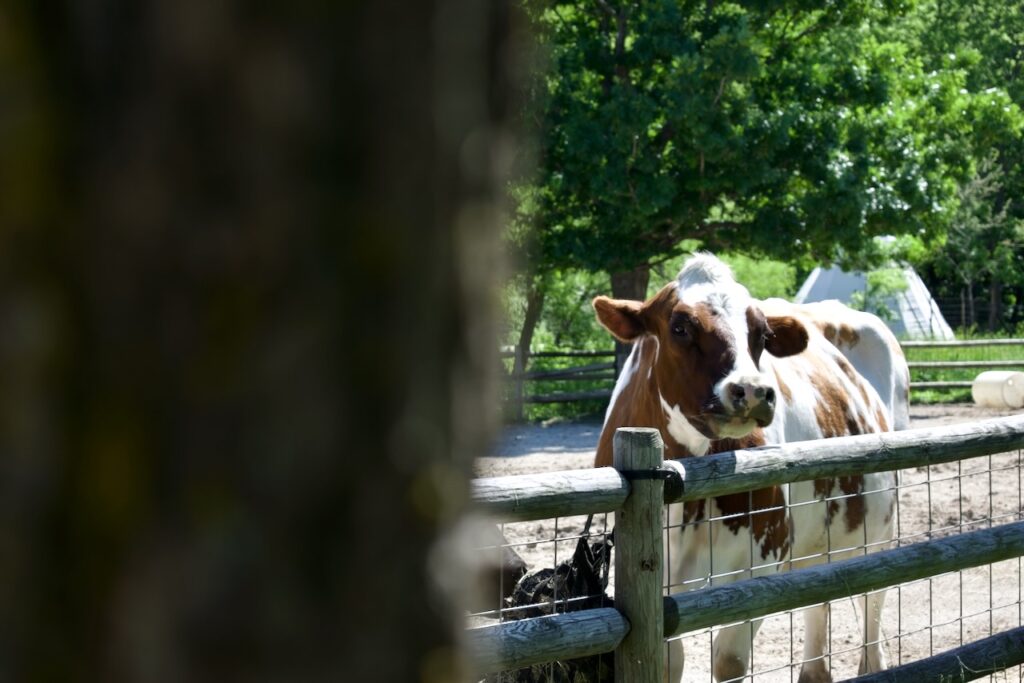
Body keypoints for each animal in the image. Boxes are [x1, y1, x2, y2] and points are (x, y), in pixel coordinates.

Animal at [593, 253, 901, 683]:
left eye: (762, 334)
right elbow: (669, 662)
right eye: (680, 327)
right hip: (815, 541)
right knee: (818, 595)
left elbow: (729, 660)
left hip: (878, 531)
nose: (754, 391)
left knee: (872, 606)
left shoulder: (762, 558)